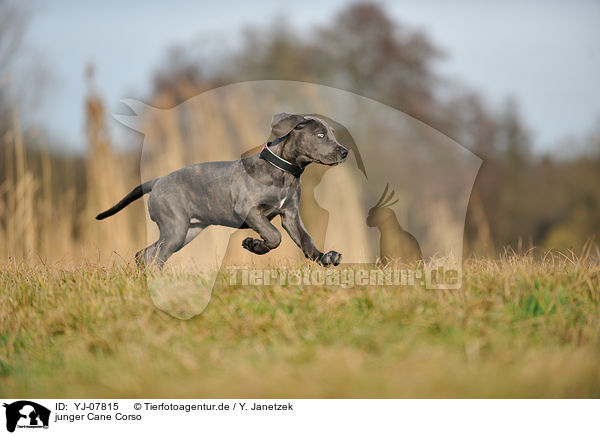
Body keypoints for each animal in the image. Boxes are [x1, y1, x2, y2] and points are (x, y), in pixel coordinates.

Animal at [93, 112, 346, 268]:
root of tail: (157, 181)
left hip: (187, 230)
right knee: (153, 257)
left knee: (146, 254)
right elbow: (274, 236)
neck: (283, 171)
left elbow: (306, 240)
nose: (345, 152)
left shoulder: (291, 215)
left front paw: (323, 257)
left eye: (332, 134)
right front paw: (253, 245)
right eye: (320, 135)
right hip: (175, 227)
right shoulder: (248, 210)